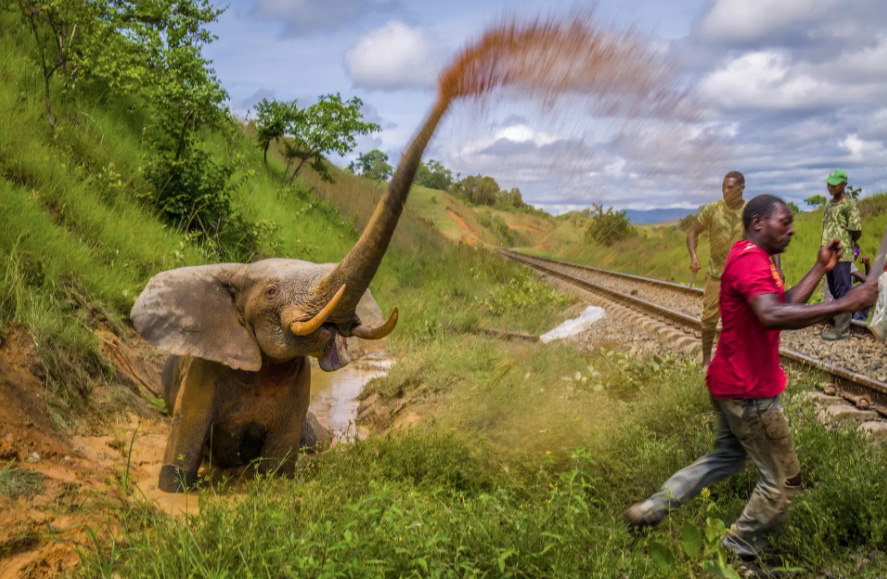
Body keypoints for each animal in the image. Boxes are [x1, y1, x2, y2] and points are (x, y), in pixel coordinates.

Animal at [132, 96, 450, 494]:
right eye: (270, 291)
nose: (450, 90)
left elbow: (280, 466)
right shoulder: (203, 371)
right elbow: (184, 443)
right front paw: (172, 493)